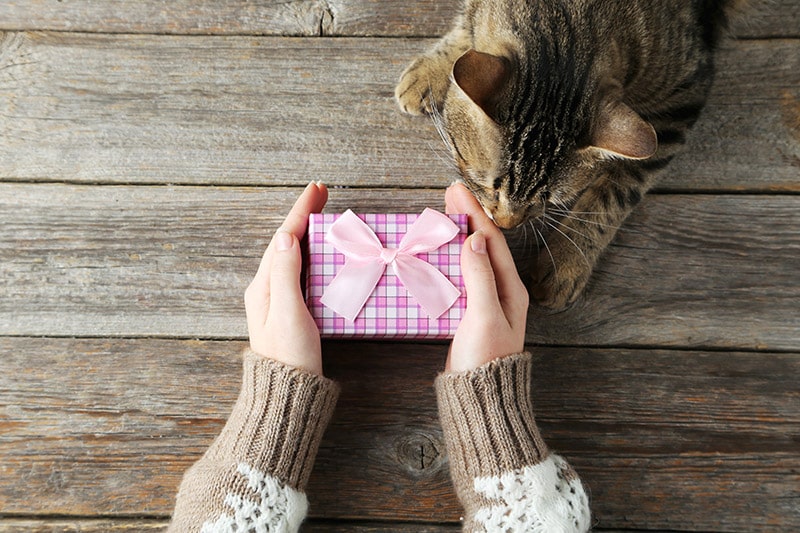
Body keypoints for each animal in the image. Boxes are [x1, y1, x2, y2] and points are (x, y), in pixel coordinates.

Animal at [396, 1, 748, 308]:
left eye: (549, 199)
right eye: (489, 185)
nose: (506, 224)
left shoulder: (682, 100)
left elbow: (615, 194)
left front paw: (565, 261)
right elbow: (467, 27)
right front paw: (434, 68)